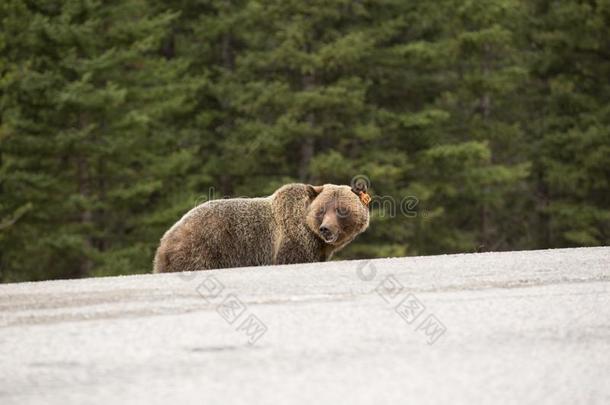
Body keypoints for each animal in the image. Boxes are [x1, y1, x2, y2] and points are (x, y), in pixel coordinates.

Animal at [152, 182, 370, 272]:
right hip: (203, 249)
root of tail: (164, 240)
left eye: (341, 210)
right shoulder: (292, 241)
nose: (326, 228)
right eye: (321, 210)